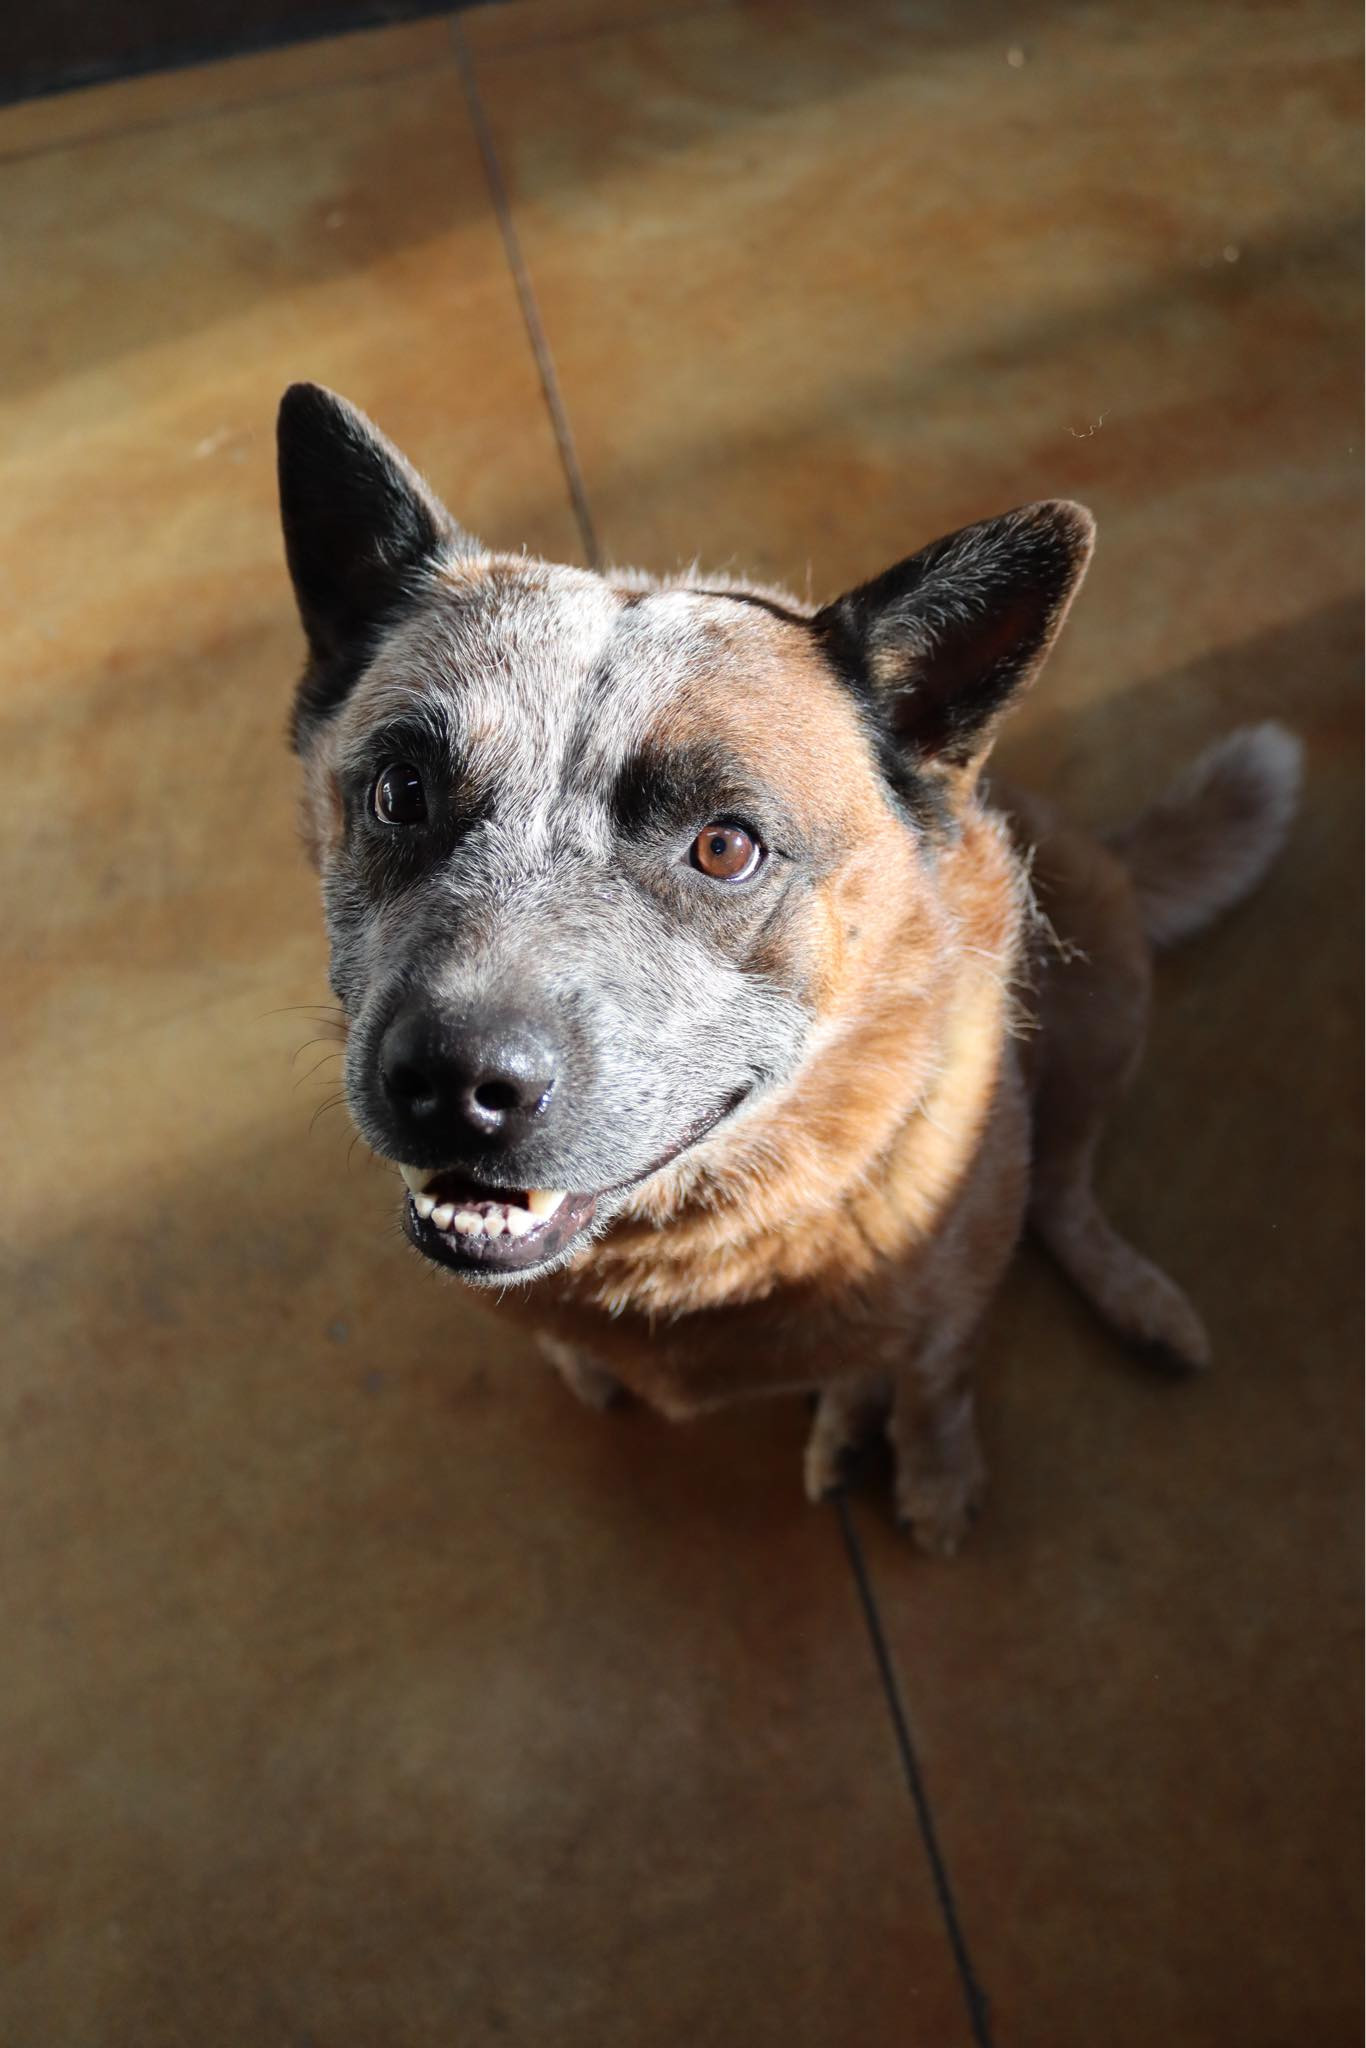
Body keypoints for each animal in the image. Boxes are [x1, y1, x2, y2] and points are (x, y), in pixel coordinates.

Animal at [274, 380, 1302, 1548]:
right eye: (401, 791)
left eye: (725, 846)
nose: (453, 1082)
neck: (687, 1248)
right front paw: (590, 1361)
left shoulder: (950, 1298)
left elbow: (937, 1375)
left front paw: (933, 1472)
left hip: (1102, 1015)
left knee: (1064, 1187)